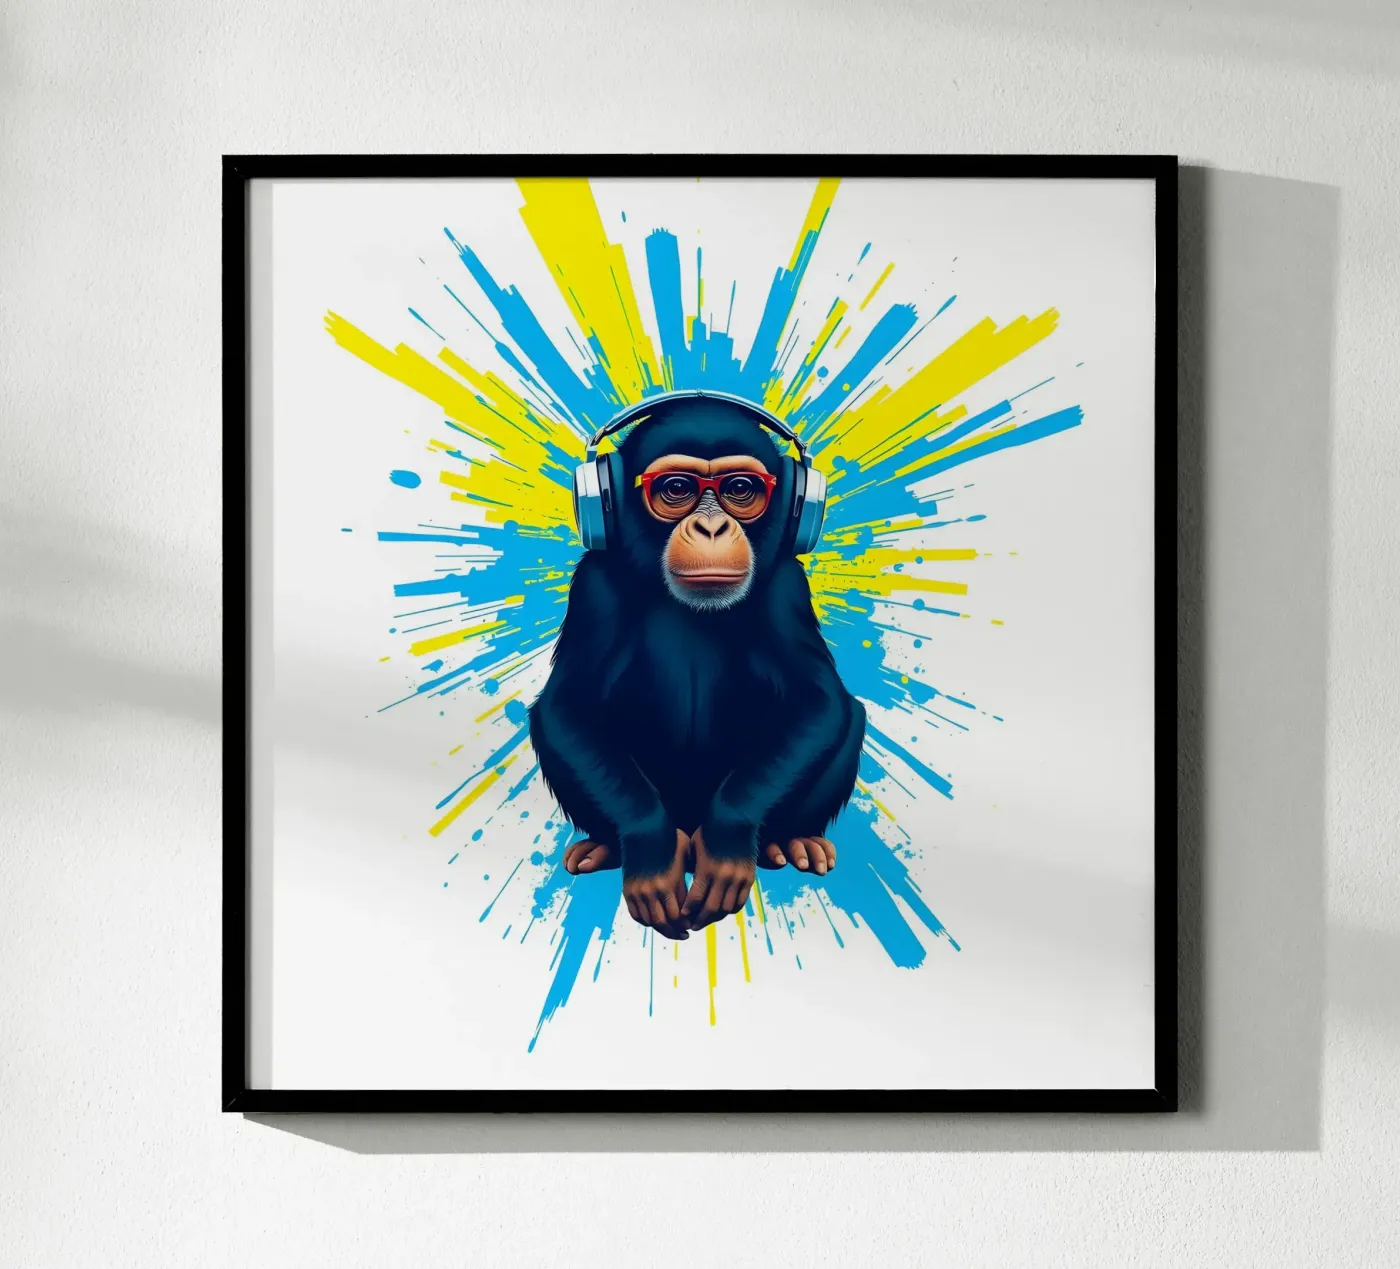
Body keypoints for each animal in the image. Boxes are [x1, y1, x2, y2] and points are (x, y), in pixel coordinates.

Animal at [528, 393, 865, 939]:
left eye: (740, 489)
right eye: (678, 489)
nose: (711, 526)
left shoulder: (787, 585)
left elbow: (819, 702)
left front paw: (727, 846)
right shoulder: (593, 583)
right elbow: (568, 706)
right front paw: (649, 857)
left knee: (852, 715)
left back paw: (790, 842)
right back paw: (610, 848)